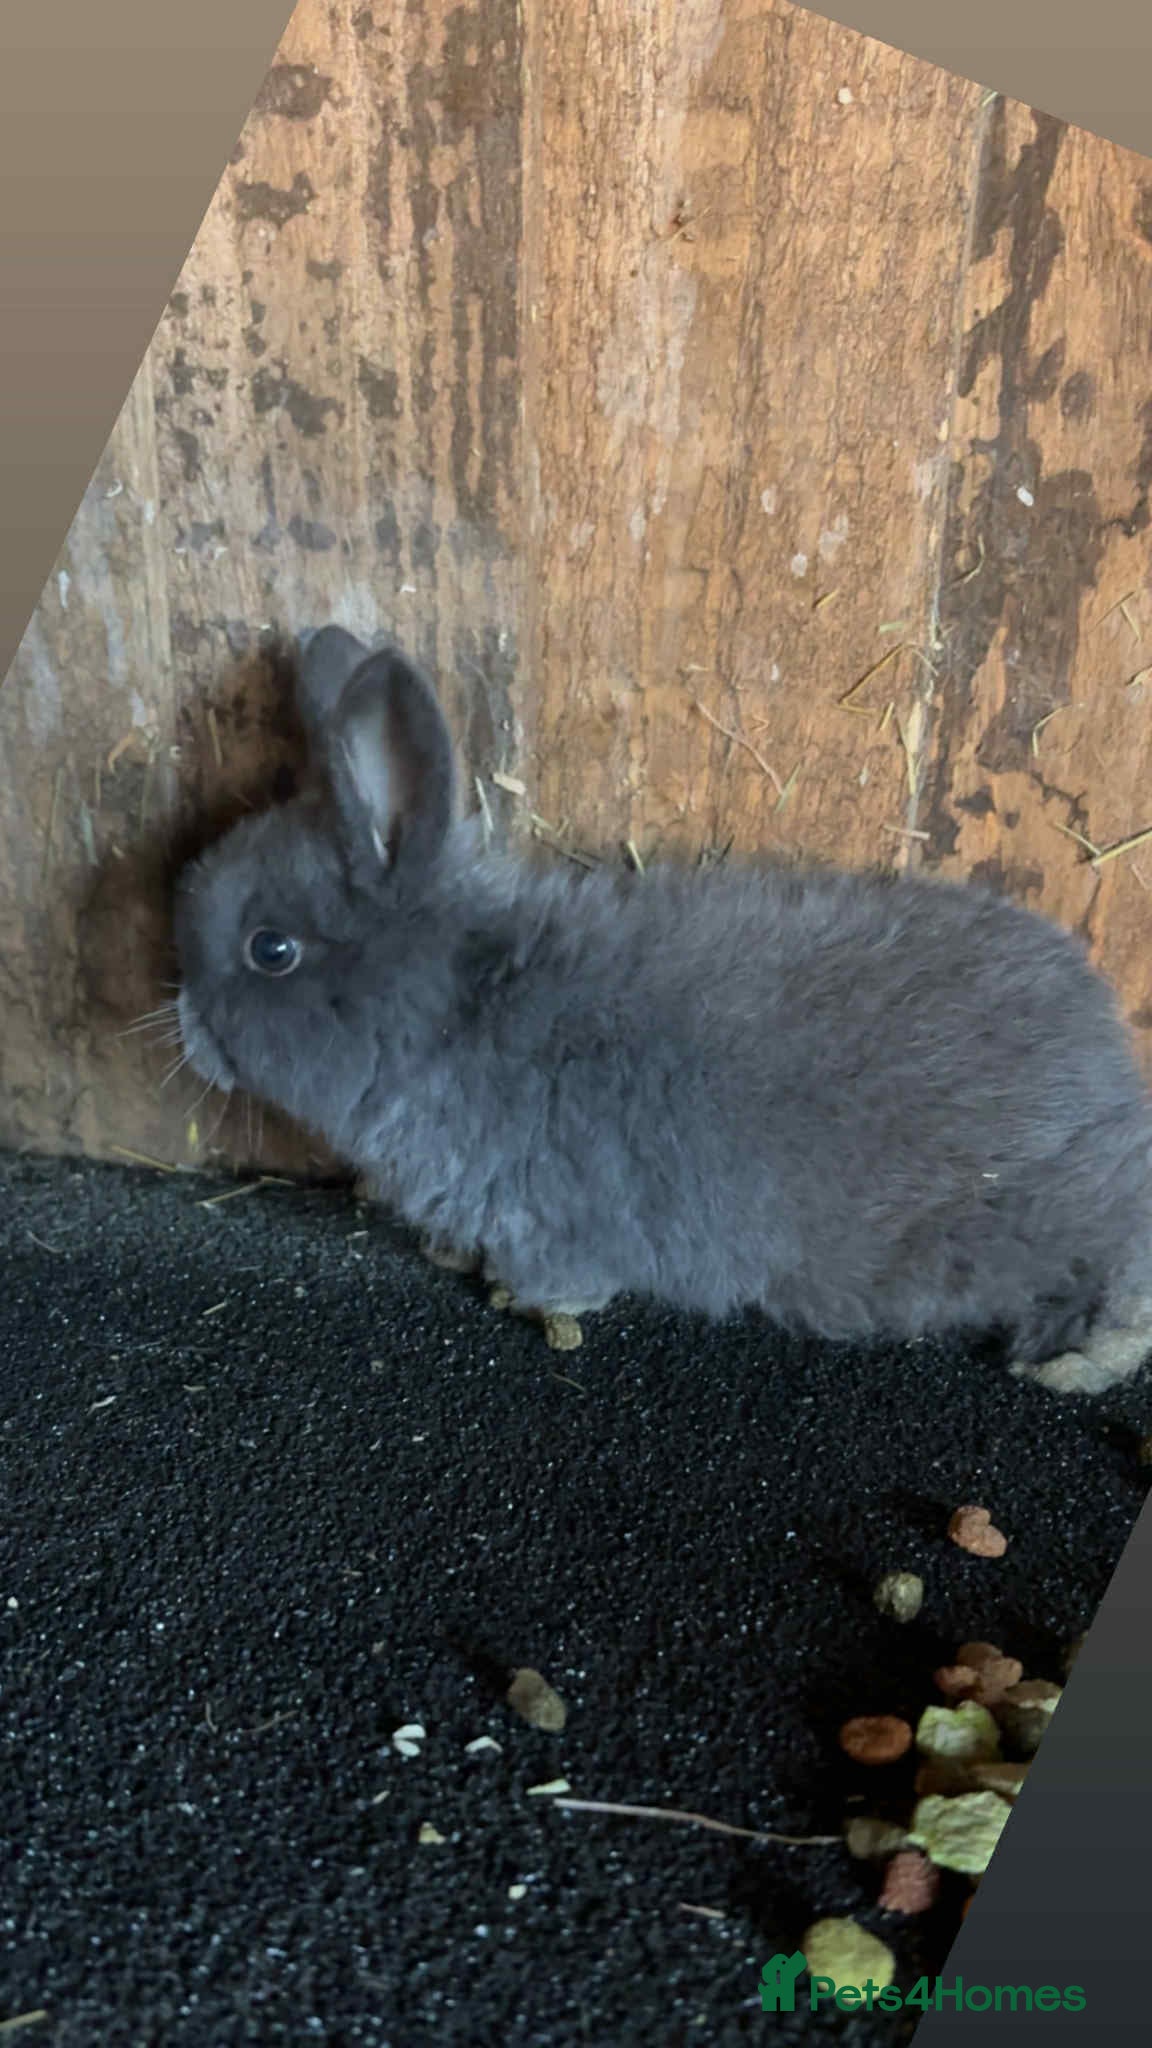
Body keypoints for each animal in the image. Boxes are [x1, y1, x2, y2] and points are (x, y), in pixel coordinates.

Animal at [173, 625, 1152, 1396]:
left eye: (270, 949)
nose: (181, 1020)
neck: (456, 1012)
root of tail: (1112, 1066)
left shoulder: (553, 1220)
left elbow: (564, 1276)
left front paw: (525, 1296)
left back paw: (1071, 1366)